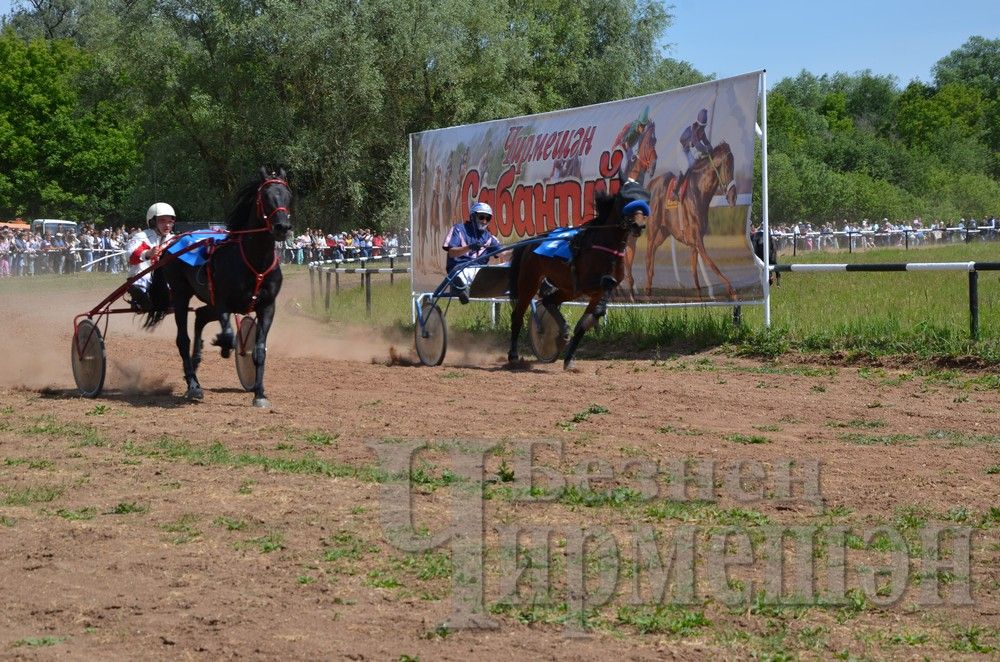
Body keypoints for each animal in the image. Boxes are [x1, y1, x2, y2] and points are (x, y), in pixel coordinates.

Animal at [146, 169, 292, 408]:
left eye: (288, 195)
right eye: (265, 197)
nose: (282, 227)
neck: (255, 262)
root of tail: (169, 245)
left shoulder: (267, 307)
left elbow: (259, 350)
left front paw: (259, 393)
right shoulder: (223, 301)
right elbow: (229, 335)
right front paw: (223, 345)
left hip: (208, 302)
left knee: (200, 316)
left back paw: (194, 369)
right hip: (180, 294)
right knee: (183, 340)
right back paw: (193, 385)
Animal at [508, 179, 648, 370]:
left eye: (645, 198)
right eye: (626, 199)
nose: (638, 225)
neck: (606, 246)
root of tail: (531, 242)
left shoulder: (594, 293)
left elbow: (583, 325)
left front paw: (569, 360)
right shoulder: (586, 284)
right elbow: (607, 283)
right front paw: (597, 314)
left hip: (568, 289)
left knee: (548, 300)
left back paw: (562, 333)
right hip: (529, 282)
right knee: (517, 316)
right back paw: (513, 356)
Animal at [636, 145, 740, 300]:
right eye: (727, 167)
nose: (733, 198)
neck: (699, 193)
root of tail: (651, 185)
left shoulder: (694, 242)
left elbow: (694, 270)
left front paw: (700, 298)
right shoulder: (698, 240)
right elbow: (712, 264)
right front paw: (732, 291)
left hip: (664, 231)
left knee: (653, 250)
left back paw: (649, 283)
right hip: (653, 228)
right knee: (648, 254)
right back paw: (647, 292)